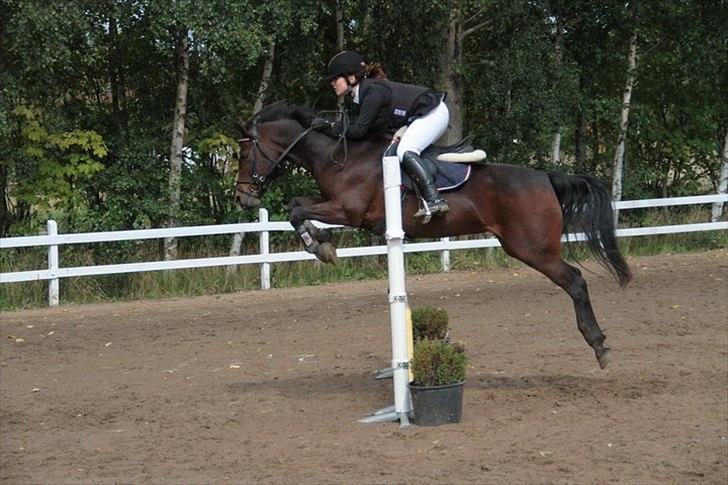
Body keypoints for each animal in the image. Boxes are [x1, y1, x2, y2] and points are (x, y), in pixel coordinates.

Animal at [234, 102, 631, 370]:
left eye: (242, 151)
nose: (242, 198)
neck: (337, 155)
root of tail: (546, 176)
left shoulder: (348, 211)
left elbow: (297, 210)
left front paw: (321, 246)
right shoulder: (334, 206)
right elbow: (296, 206)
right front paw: (320, 244)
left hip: (533, 249)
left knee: (575, 281)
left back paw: (600, 346)